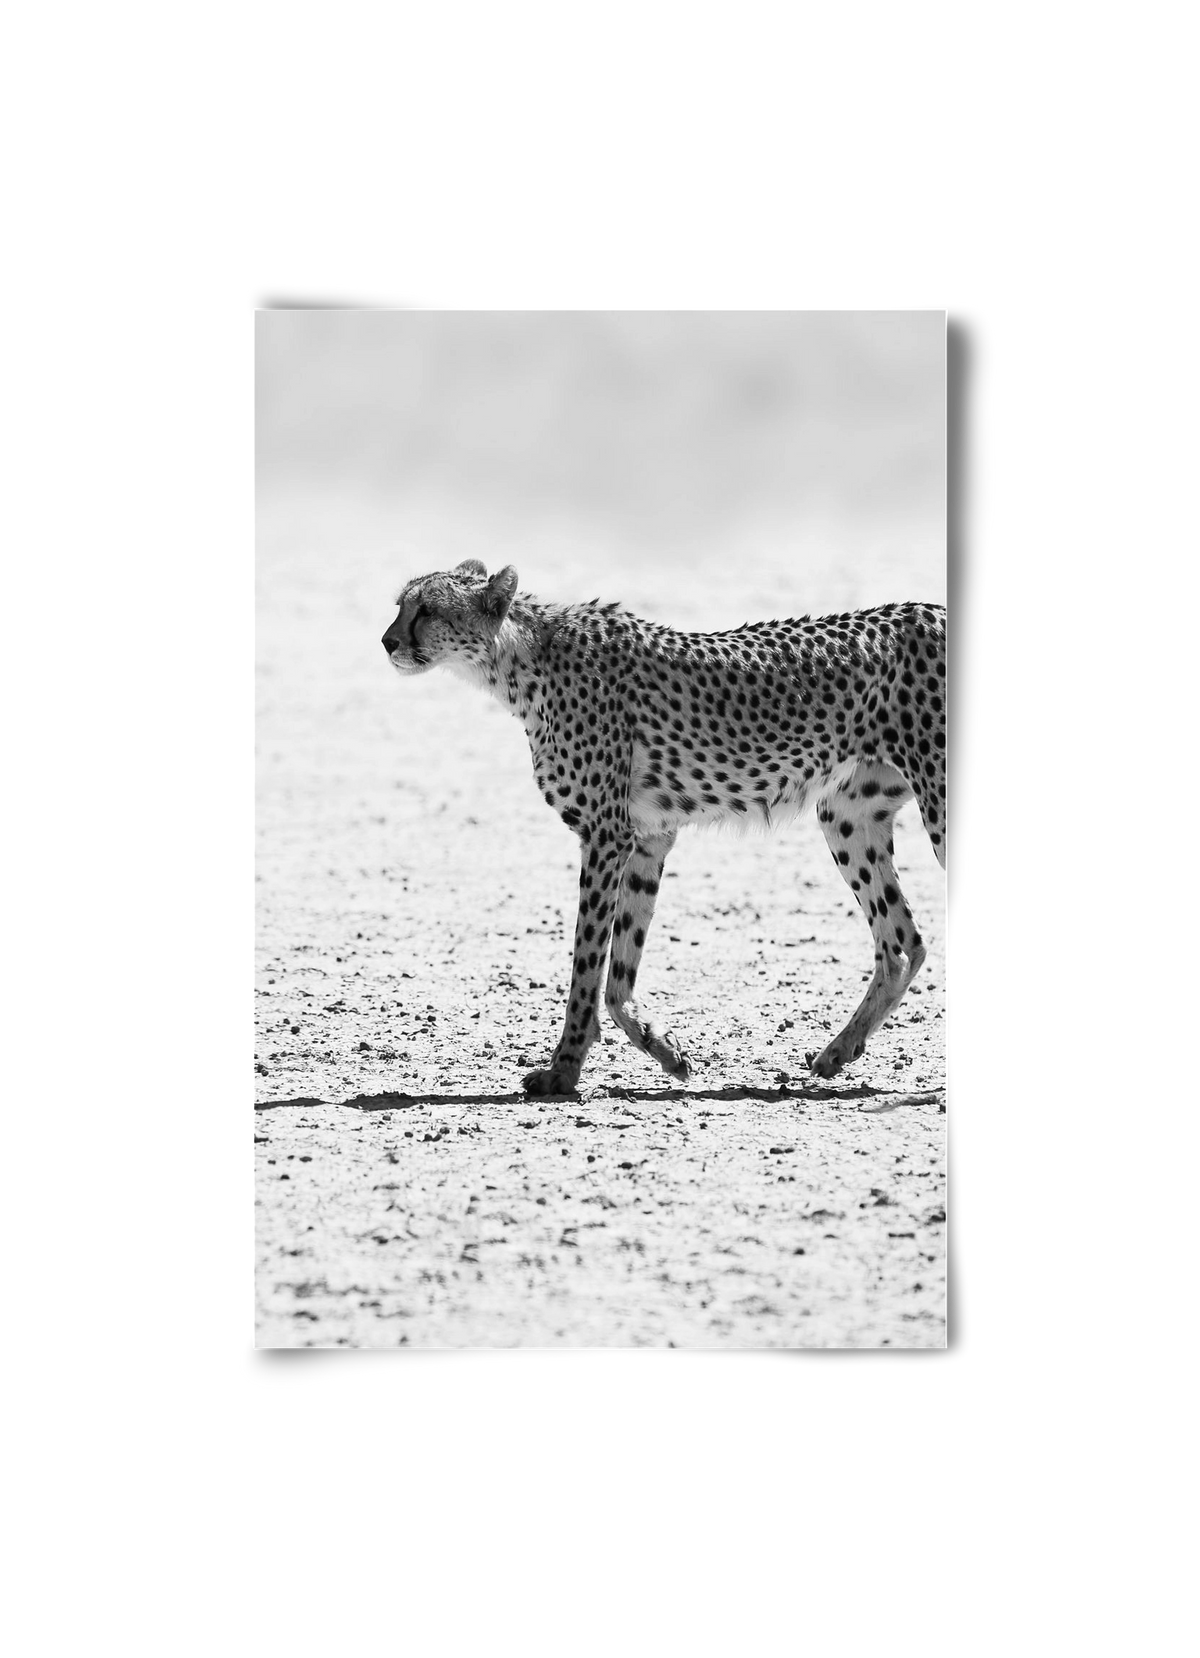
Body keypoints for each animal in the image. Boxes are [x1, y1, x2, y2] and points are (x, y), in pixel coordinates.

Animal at [383, 559, 945, 1096]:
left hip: (935, 805)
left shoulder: (606, 835)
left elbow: (587, 964)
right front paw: (666, 1051)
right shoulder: (648, 837)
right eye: (400, 605)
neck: (519, 660)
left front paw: (563, 1071)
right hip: (847, 816)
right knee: (902, 942)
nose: (387, 641)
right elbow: (618, 973)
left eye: (427, 609)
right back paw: (838, 1051)